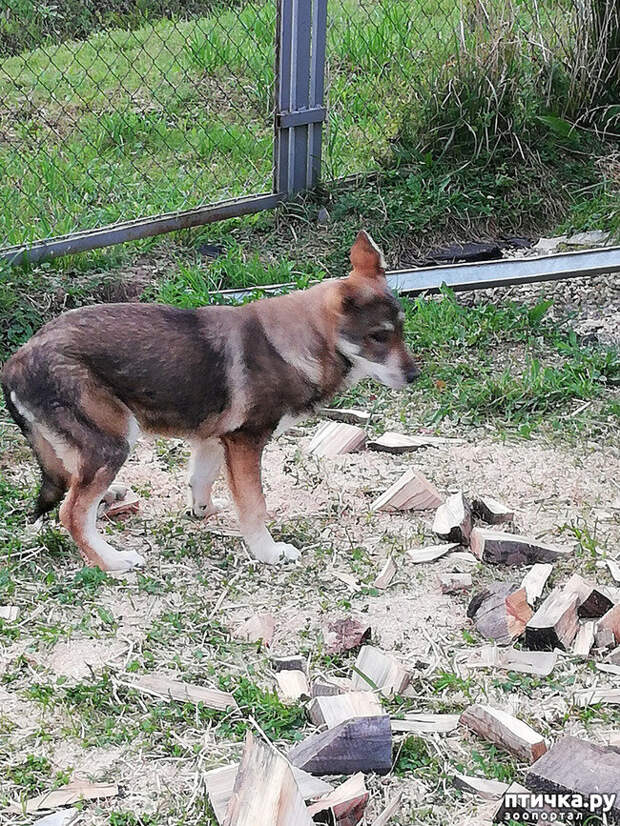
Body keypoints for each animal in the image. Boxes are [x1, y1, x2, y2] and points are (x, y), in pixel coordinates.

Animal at [2, 229, 418, 568]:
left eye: (400, 330)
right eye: (378, 337)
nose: (415, 376)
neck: (298, 343)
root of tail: (16, 361)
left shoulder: (216, 439)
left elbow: (201, 479)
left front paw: (203, 511)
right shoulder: (246, 442)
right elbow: (254, 505)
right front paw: (267, 552)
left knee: (75, 492)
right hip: (114, 442)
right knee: (72, 513)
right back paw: (113, 561)